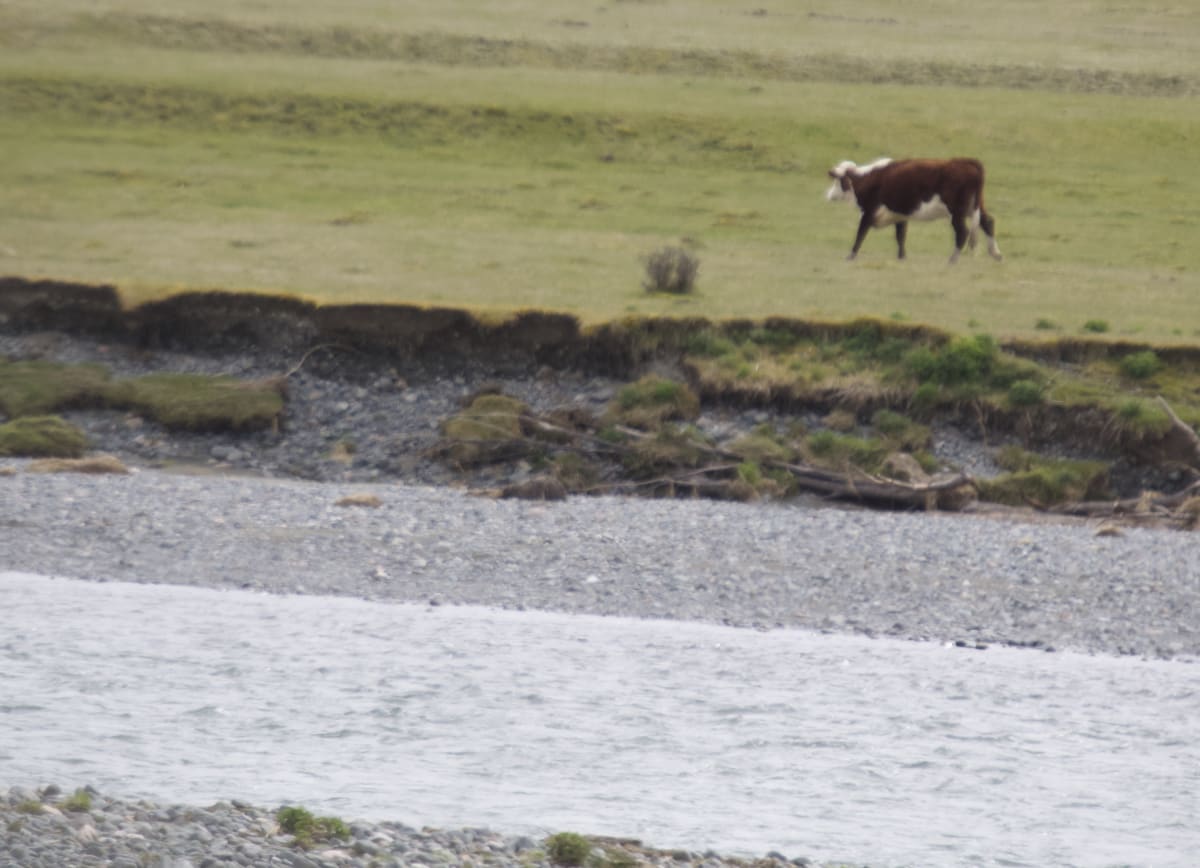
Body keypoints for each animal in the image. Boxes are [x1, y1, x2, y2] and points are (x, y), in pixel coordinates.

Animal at [825, 158, 1003, 262]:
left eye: (837, 182)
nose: (828, 195)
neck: (867, 179)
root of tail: (967, 162)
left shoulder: (869, 211)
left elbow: (860, 233)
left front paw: (850, 255)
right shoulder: (899, 214)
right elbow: (900, 236)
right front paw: (902, 257)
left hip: (957, 211)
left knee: (962, 232)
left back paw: (953, 259)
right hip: (974, 207)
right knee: (988, 222)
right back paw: (996, 254)